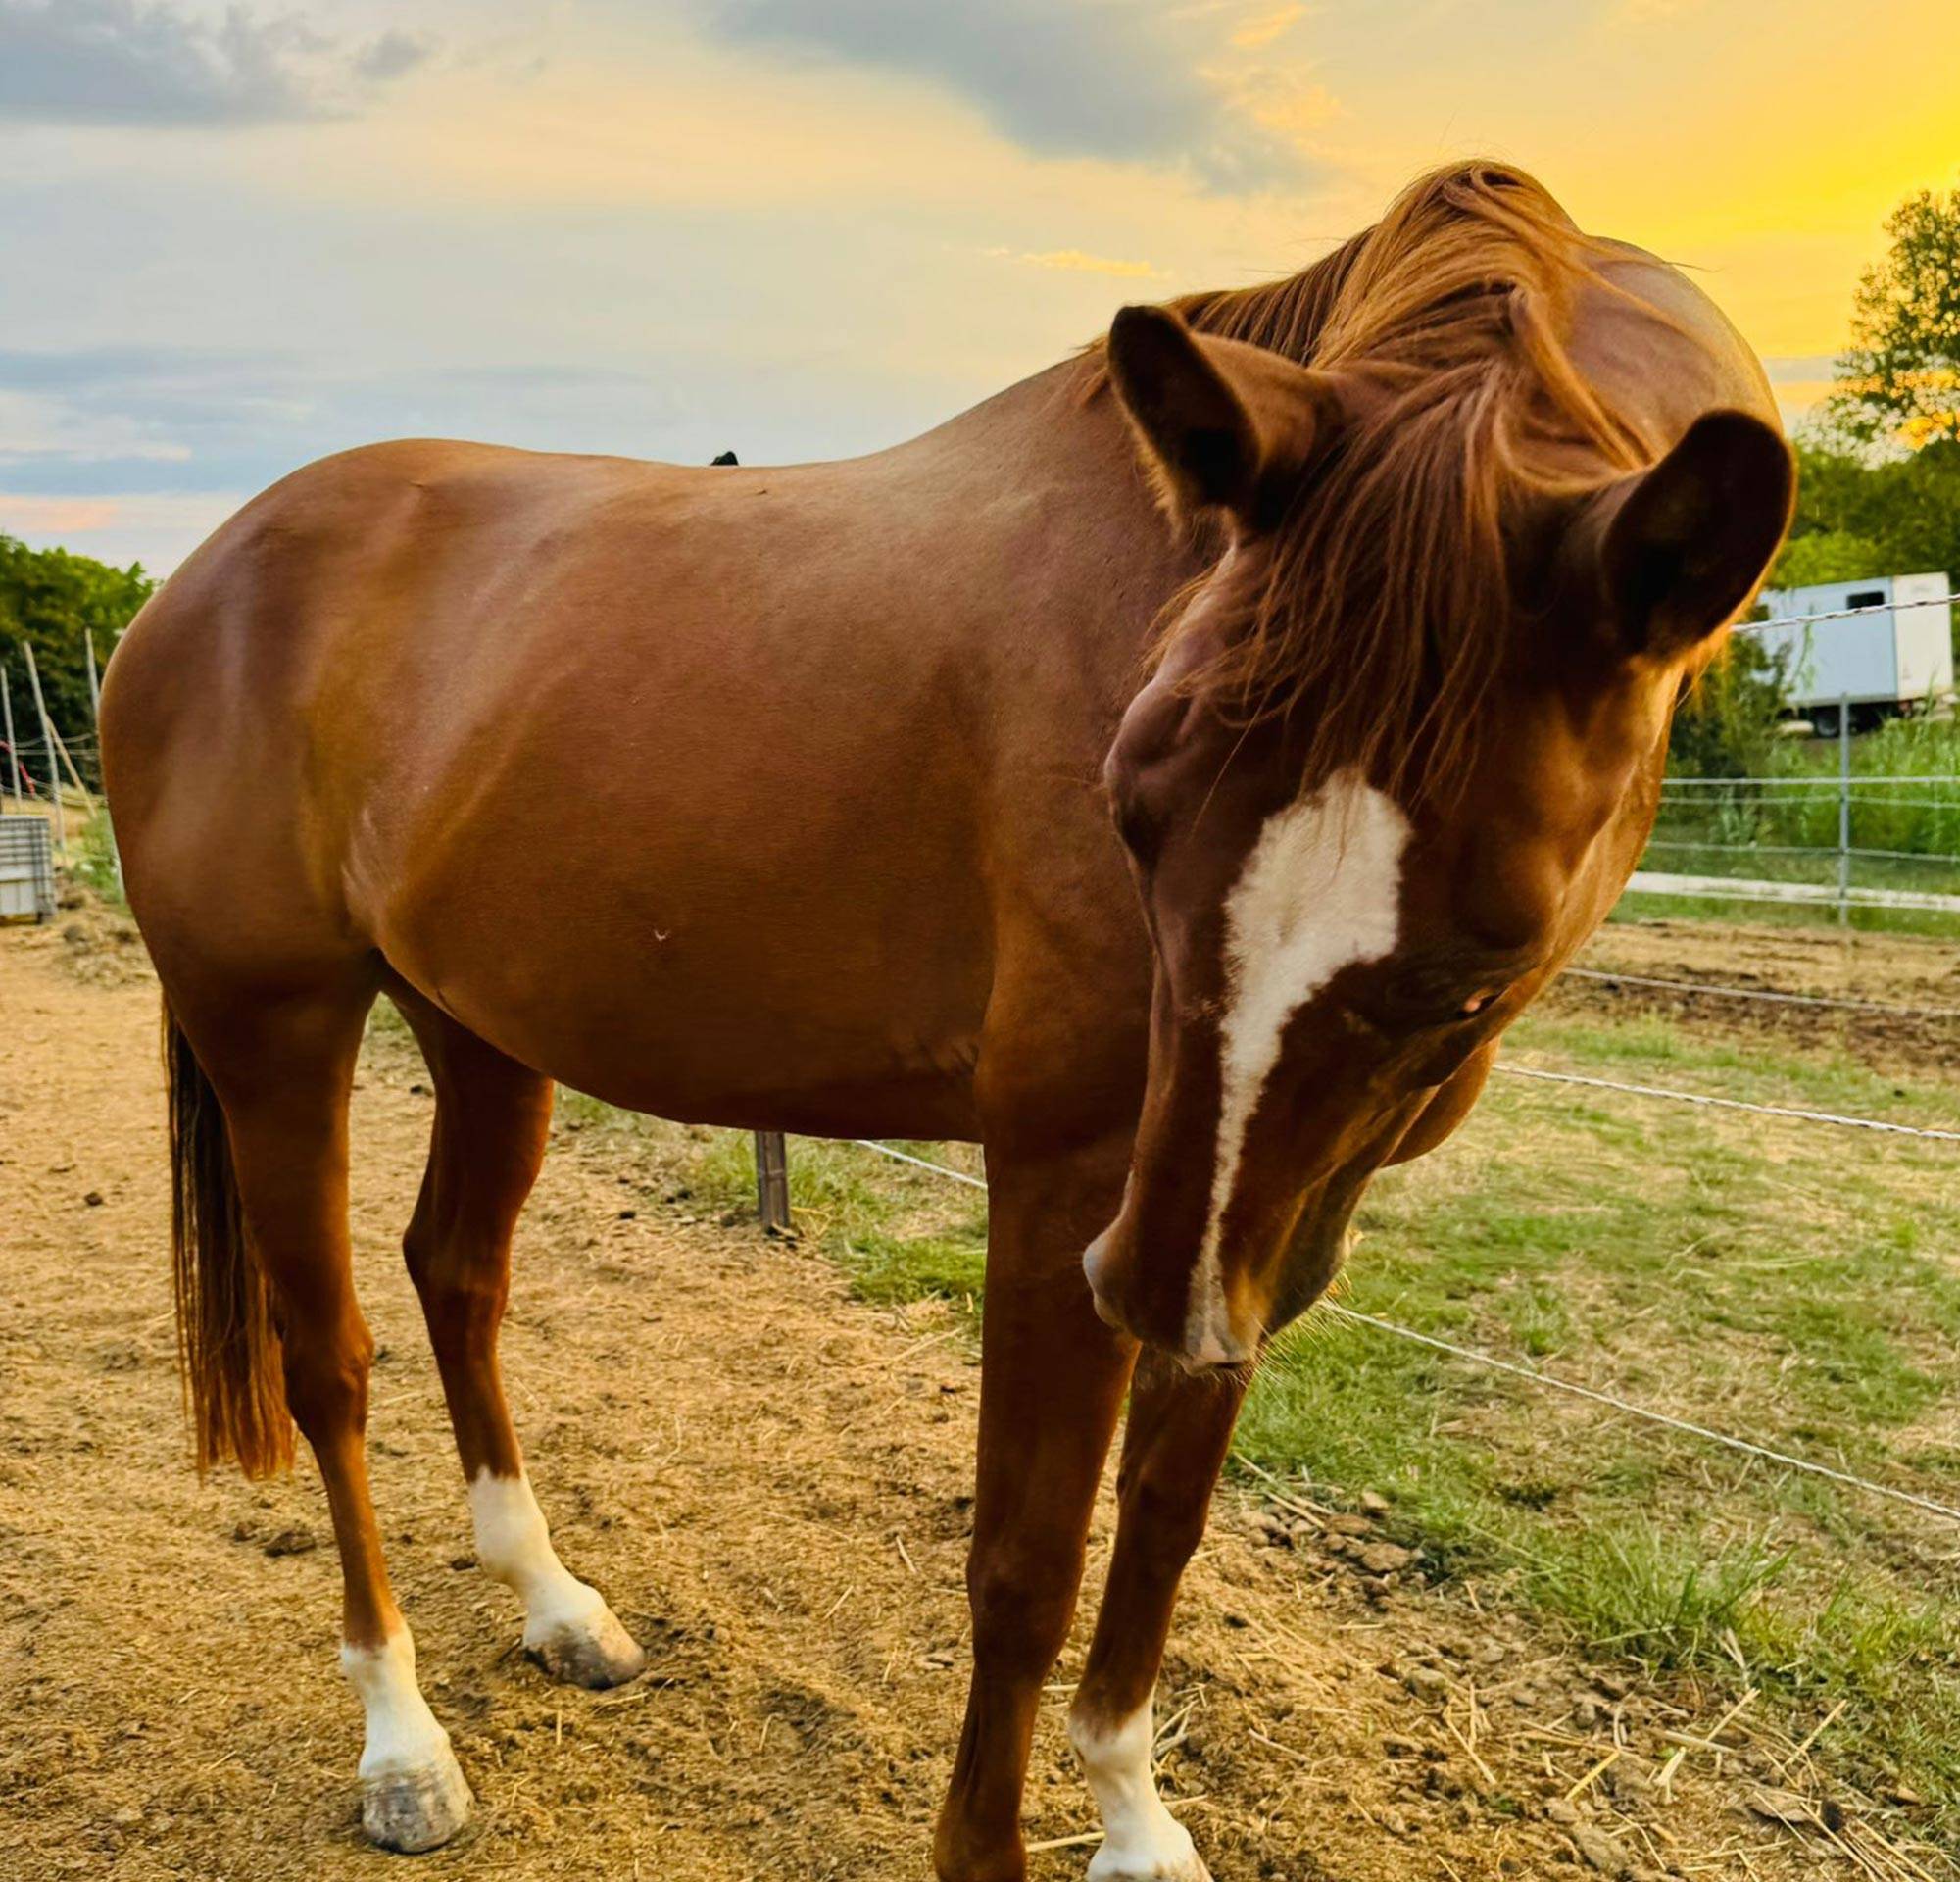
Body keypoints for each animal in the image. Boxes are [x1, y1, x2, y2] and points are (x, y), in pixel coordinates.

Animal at [100, 162, 1793, 1880]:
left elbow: (1162, 1535)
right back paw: (403, 1743)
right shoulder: (1078, 1183)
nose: (1149, 1281)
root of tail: (197, 584)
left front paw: (1132, 1815)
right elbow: (1026, 1563)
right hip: (277, 1029)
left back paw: (554, 1604)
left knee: (457, 1277)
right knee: (329, 1363)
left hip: (483, 1030)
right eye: (1134, 801)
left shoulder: (1254, 1219)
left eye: (1490, 939)